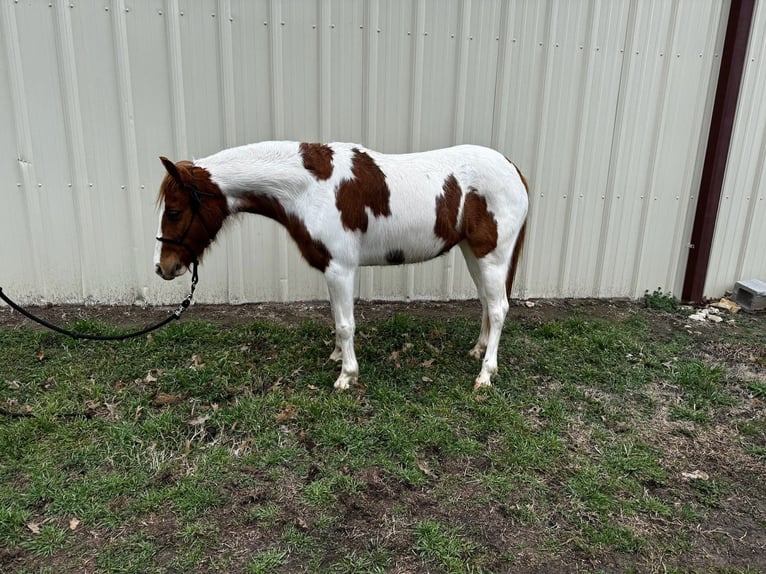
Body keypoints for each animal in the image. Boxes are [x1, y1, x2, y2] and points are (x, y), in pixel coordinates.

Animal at [155, 141, 528, 392]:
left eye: (174, 211)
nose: (163, 268)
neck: (310, 189)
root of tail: (514, 169)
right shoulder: (330, 269)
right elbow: (336, 317)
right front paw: (336, 357)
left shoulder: (341, 269)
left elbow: (347, 324)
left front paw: (346, 376)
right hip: (474, 254)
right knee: (486, 302)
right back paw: (477, 350)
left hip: (493, 256)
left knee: (498, 308)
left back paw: (485, 375)